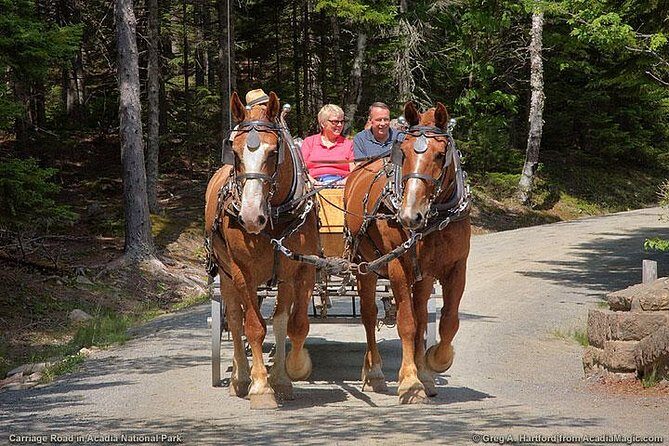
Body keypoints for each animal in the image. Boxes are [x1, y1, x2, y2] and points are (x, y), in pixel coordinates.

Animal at [204, 91, 319, 409]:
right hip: (227, 275)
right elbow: (254, 327)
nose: (250, 217)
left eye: (273, 151)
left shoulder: (299, 269)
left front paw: (288, 373)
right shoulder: (243, 272)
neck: (275, 218)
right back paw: (240, 378)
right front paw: (261, 387)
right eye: (234, 151)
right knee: (234, 319)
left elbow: (291, 324)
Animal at [344, 101, 471, 404]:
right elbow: (407, 323)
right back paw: (374, 372)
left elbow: (447, 321)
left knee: (423, 314)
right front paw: (410, 383)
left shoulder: (456, 266)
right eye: (404, 152)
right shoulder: (398, 266)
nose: (409, 215)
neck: (436, 217)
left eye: (440, 155)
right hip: (365, 266)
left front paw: (435, 362)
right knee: (369, 315)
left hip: (422, 274)